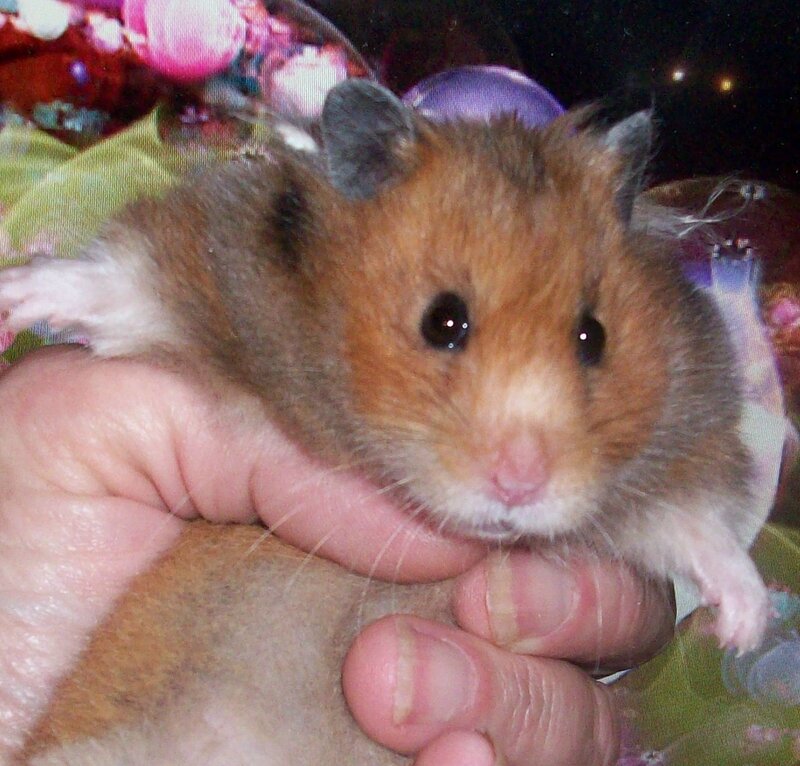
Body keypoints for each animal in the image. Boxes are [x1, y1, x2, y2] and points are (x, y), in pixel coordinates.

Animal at [0, 79, 778, 762]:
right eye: (443, 320)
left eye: (595, 337)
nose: (520, 485)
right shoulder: (219, 266)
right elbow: (127, 281)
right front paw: (22, 296)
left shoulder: (686, 436)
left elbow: (700, 527)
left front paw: (745, 629)